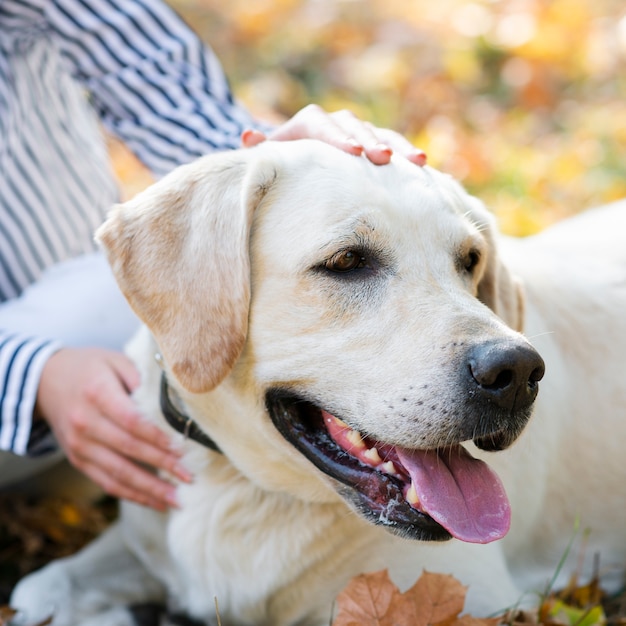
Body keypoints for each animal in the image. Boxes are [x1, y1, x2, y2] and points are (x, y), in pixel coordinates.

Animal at [11, 139, 624, 620]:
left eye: (470, 261)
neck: (243, 487)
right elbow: (44, 584)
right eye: (347, 261)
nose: (516, 370)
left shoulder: (476, 598)